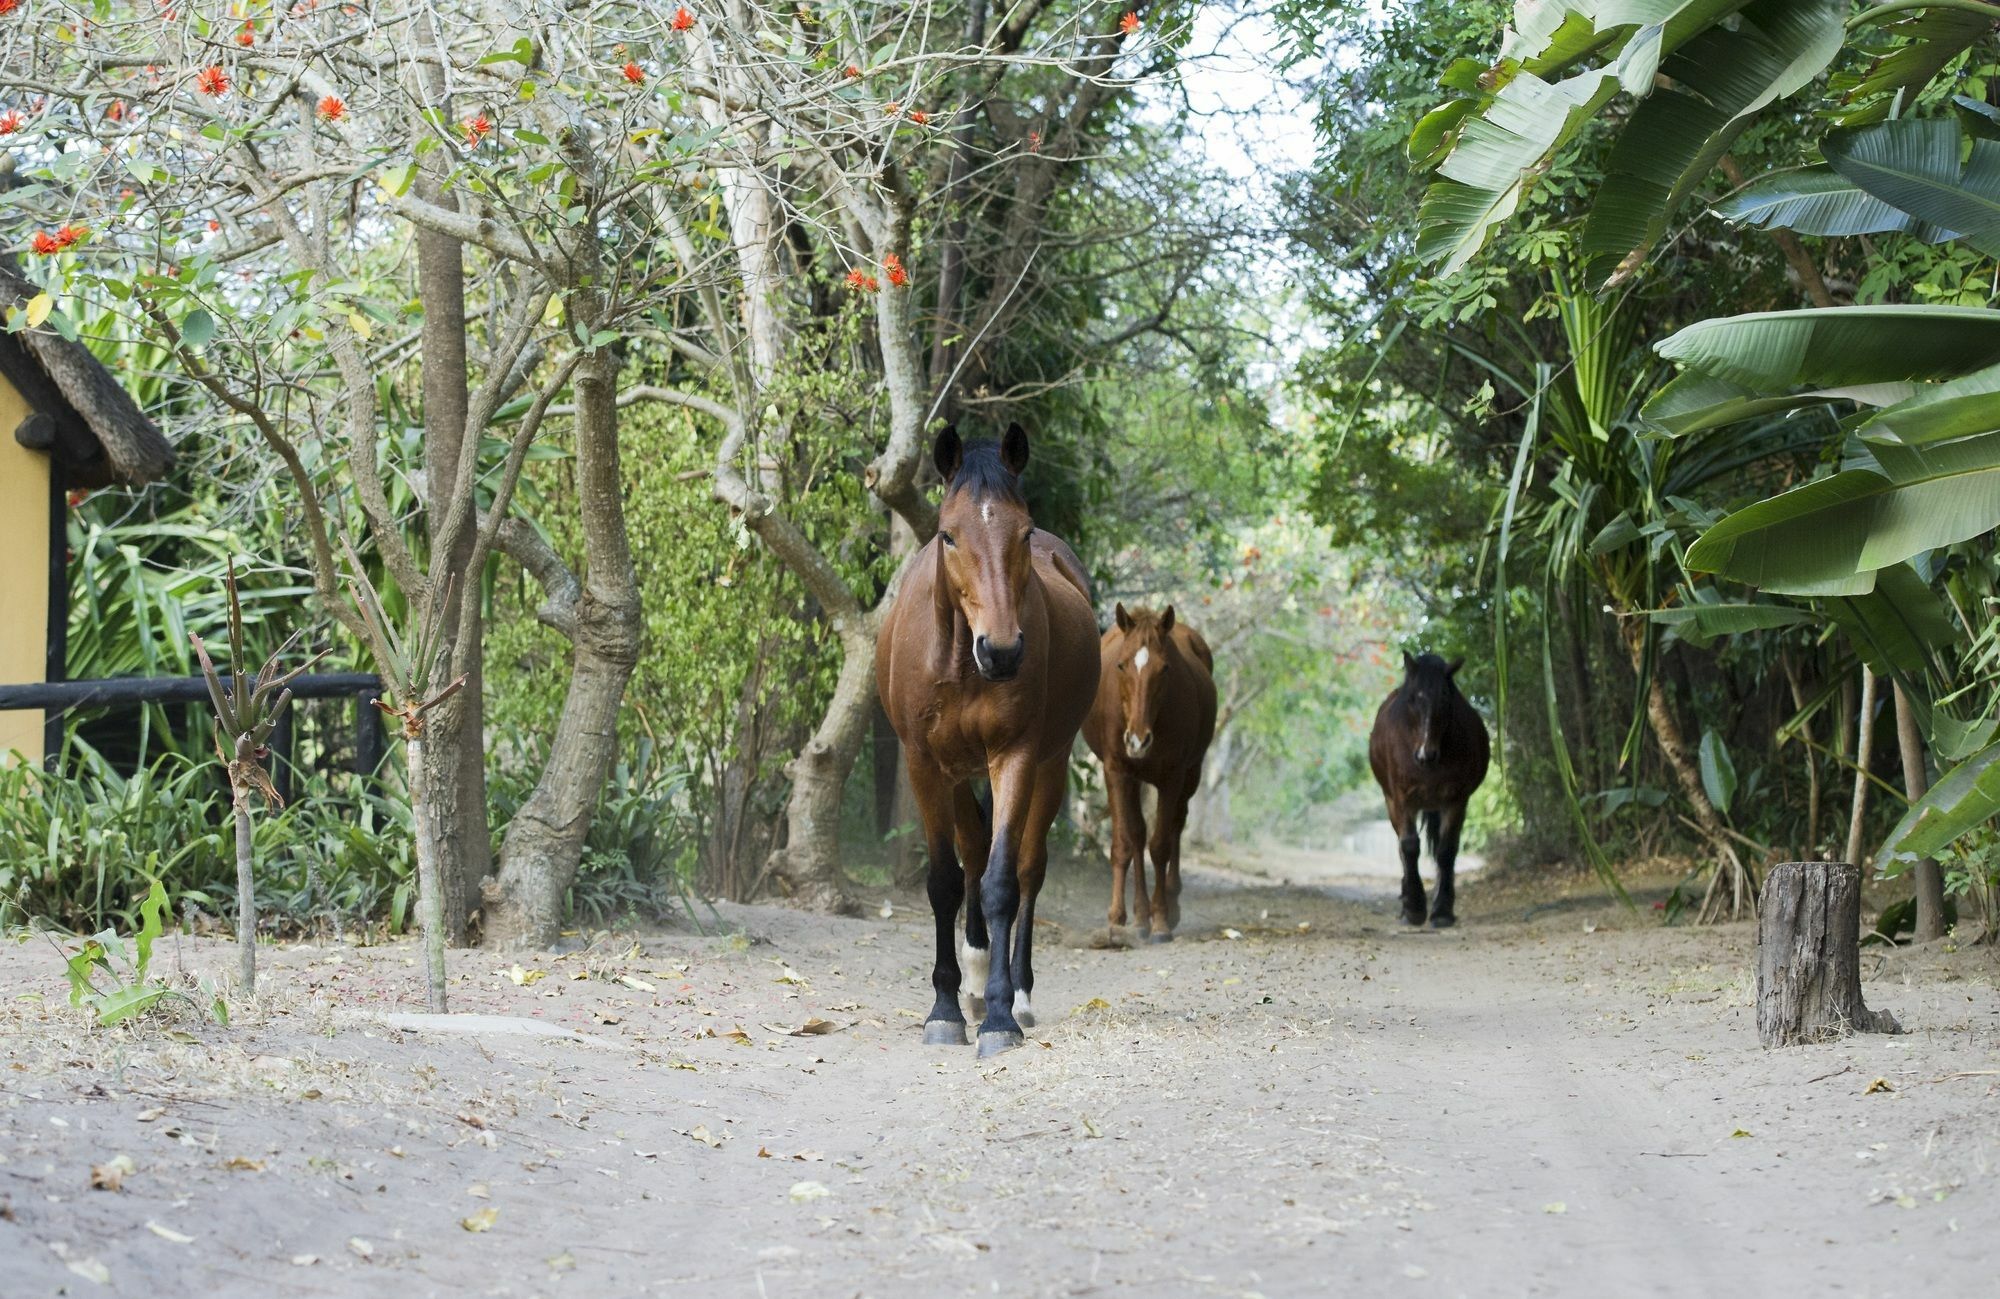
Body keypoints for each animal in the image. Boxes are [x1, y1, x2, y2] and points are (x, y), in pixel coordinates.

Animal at [876, 425, 1104, 1055]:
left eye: (1022, 532)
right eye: (948, 535)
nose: (1001, 651)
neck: (960, 664)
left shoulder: (1016, 757)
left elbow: (1003, 880)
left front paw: (1001, 1017)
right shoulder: (925, 763)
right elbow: (945, 881)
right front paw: (945, 1008)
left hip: (1050, 765)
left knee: (1026, 868)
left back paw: (1015, 993)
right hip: (956, 772)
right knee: (972, 852)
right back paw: (975, 976)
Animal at [1088, 595, 1208, 939]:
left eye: (1164, 668)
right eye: (1121, 665)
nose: (1138, 740)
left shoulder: (1173, 777)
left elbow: (1161, 845)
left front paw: (1162, 919)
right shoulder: (1116, 772)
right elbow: (1125, 843)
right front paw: (1118, 916)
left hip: (1191, 775)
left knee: (1176, 826)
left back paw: (1169, 900)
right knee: (1138, 834)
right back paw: (1140, 915)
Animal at [1368, 651, 1496, 927]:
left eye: (1446, 698)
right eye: (1414, 698)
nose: (1426, 754)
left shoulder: (1456, 799)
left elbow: (1446, 851)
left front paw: (1442, 911)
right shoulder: (1402, 799)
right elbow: (1409, 846)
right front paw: (1414, 908)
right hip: (1392, 801)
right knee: (1402, 848)